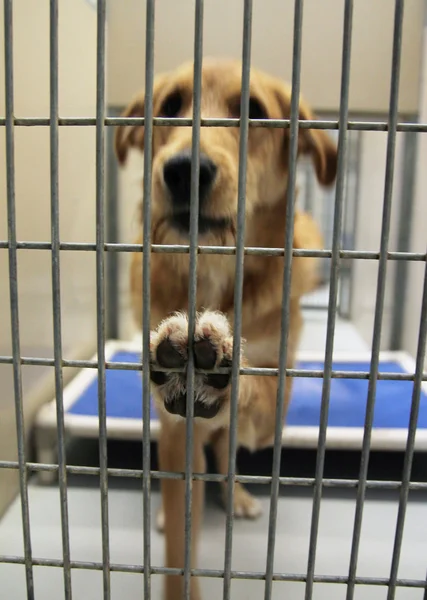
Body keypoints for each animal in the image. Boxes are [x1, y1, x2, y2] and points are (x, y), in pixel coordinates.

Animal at [114, 59, 338, 600]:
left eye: (255, 111)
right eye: (170, 105)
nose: (184, 170)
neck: (214, 272)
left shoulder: (276, 399)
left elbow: (252, 392)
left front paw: (219, 369)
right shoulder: (175, 430)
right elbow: (180, 542)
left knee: (226, 449)